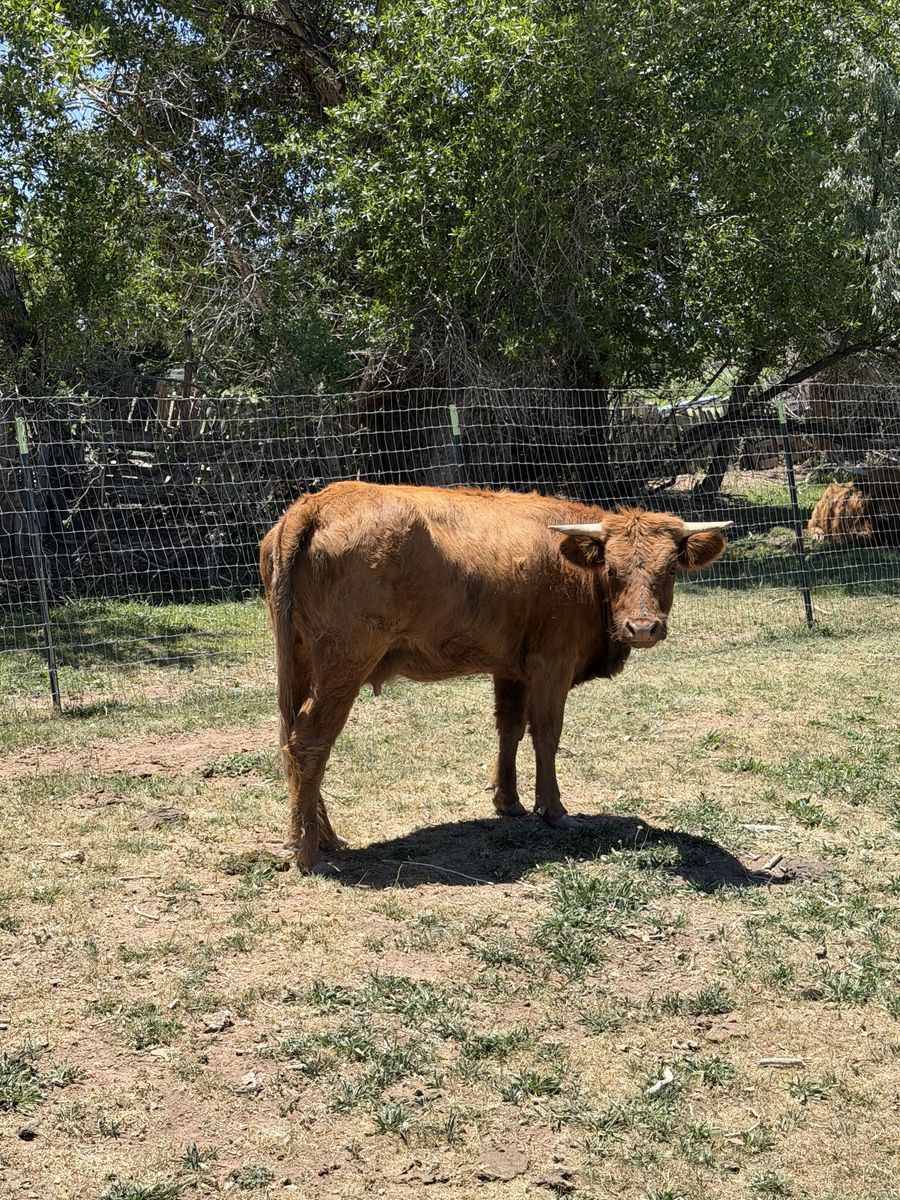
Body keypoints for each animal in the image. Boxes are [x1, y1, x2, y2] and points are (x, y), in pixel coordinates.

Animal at [259, 482, 731, 873]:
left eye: (670, 570)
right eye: (612, 570)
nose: (643, 628)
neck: (578, 574)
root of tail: (319, 503)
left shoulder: (510, 668)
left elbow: (510, 728)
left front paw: (509, 801)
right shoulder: (551, 663)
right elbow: (546, 733)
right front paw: (554, 810)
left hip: (299, 662)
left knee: (290, 738)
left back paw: (318, 837)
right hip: (344, 663)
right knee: (311, 741)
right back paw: (310, 854)